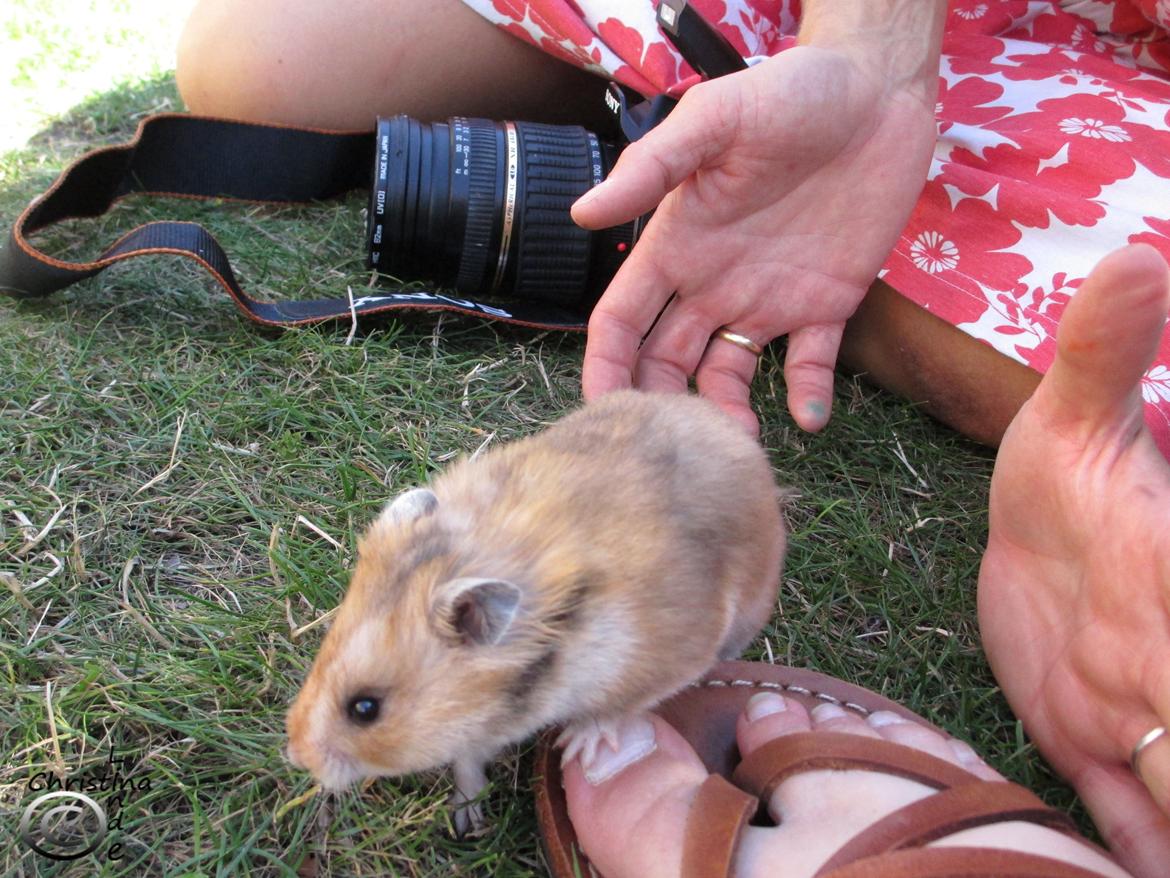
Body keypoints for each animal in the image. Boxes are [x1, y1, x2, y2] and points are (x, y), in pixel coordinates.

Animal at [285, 389, 785, 834]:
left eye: (365, 708)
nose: (295, 755)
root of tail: (726, 425)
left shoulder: (669, 655)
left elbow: (617, 708)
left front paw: (579, 747)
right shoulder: (477, 726)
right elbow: (467, 760)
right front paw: (466, 821)